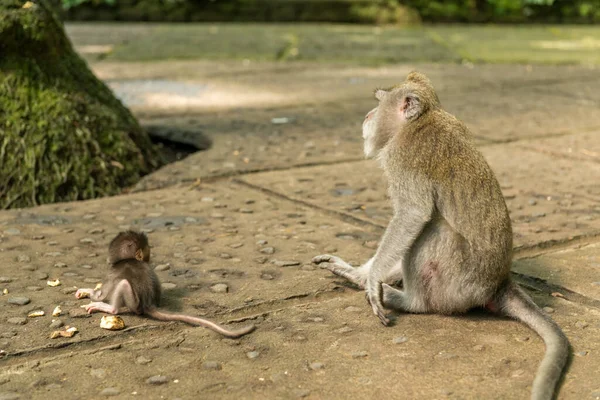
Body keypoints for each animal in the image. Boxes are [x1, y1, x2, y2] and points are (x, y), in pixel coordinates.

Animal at [75, 231, 255, 338]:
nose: (148, 258)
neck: (130, 259)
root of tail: (148, 304)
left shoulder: (111, 274)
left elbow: (101, 294)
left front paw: (88, 292)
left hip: (133, 303)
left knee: (123, 287)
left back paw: (109, 308)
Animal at [312, 72, 568, 400]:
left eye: (379, 102)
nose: (367, 116)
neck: (423, 118)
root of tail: (499, 283)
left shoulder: (403, 157)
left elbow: (413, 215)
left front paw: (372, 280)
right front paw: (359, 273)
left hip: (456, 283)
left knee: (431, 228)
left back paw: (407, 300)